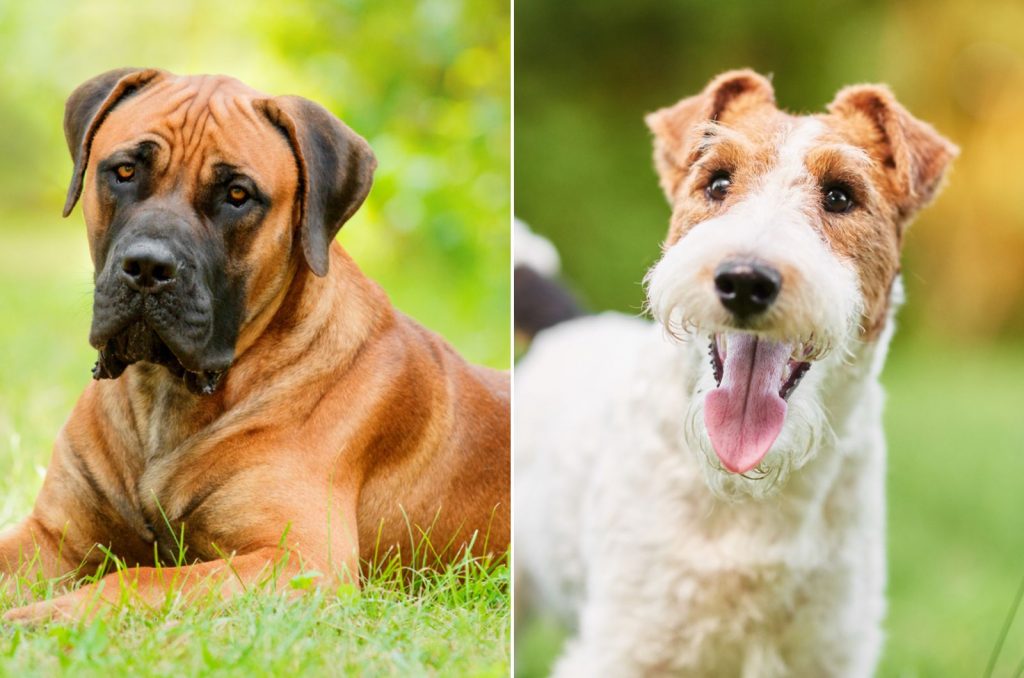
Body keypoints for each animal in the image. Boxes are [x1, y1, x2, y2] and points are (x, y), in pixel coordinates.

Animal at [0, 67, 509, 622]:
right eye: (126, 171)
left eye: (238, 195)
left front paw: (39, 617)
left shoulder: (299, 561)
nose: (149, 267)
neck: (163, 394)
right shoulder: (53, 537)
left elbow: (139, 579)